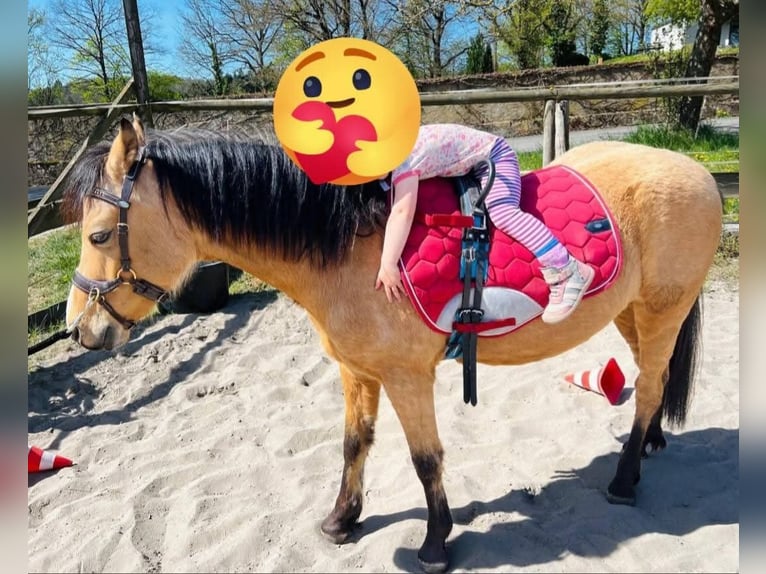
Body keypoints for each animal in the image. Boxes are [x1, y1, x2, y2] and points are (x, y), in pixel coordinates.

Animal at [62, 116, 722, 573]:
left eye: (98, 235)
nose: (80, 332)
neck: (347, 242)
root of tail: (693, 170)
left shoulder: (409, 377)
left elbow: (425, 459)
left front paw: (433, 543)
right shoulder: (357, 371)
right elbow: (354, 444)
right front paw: (340, 521)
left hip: (662, 308)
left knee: (649, 386)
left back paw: (625, 479)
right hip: (633, 312)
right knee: (655, 378)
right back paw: (650, 444)